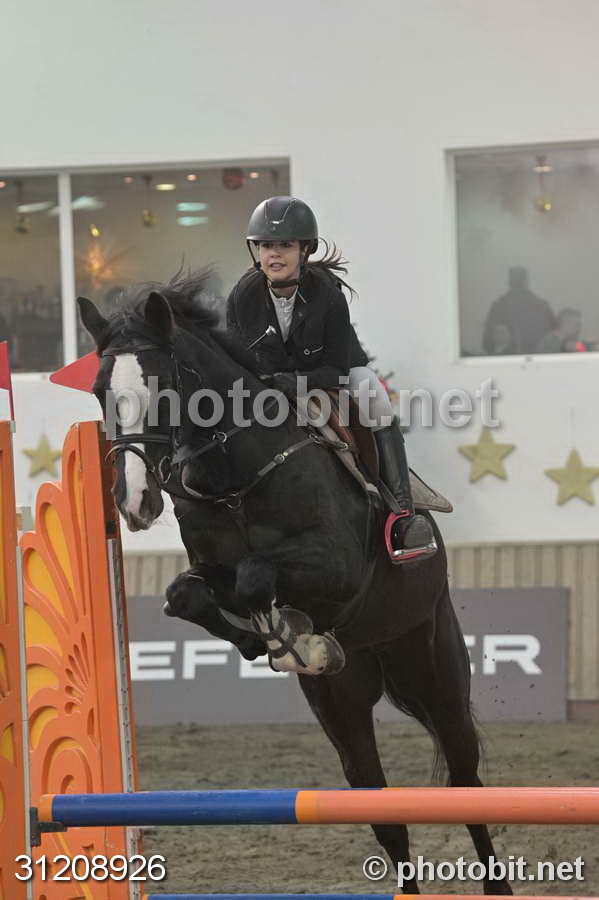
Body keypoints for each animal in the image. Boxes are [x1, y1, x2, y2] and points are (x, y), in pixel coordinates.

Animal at [78, 272, 512, 895]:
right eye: (98, 391)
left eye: (163, 386)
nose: (134, 502)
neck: (237, 478)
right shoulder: (209, 568)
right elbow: (190, 594)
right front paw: (272, 640)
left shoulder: (338, 566)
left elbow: (258, 574)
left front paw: (288, 636)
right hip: (342, 702)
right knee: (383, 810)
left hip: (432, 666)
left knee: (466, 780)